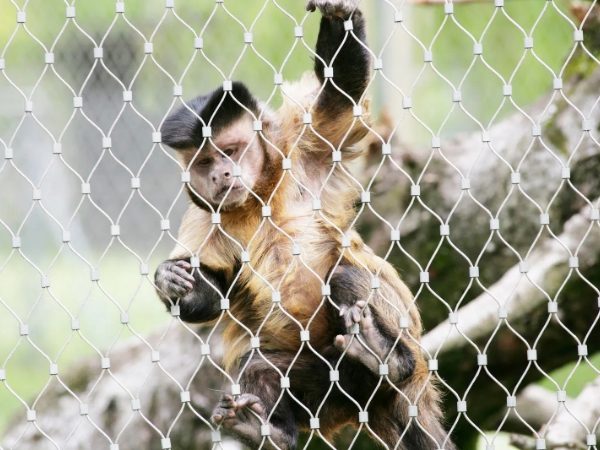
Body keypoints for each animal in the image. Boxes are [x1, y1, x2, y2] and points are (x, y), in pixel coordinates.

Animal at [155, 1, 454, 448]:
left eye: (231, 151)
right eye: (204, 162)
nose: (221, 175)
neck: (257, 199)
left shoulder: (299, 146)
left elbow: (340, 97)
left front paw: (337, 17)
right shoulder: (205, 216)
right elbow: (216, 288)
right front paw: (171, 281)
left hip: (404, 343)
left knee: (347, 275)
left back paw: (385, 357)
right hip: (324, 385)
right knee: (259, 365)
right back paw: (266, 429)